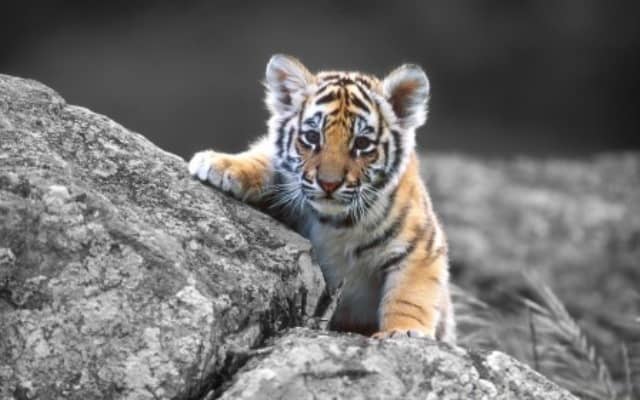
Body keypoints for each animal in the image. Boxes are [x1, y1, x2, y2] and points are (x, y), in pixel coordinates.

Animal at [188, 54, 455, 342]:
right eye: (312, 137)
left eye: (362, 144)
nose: (329, 183)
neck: (336, 223)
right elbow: (265, 157)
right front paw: (220, 164)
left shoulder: (422, 248)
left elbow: (410, 296)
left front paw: (403, 332)